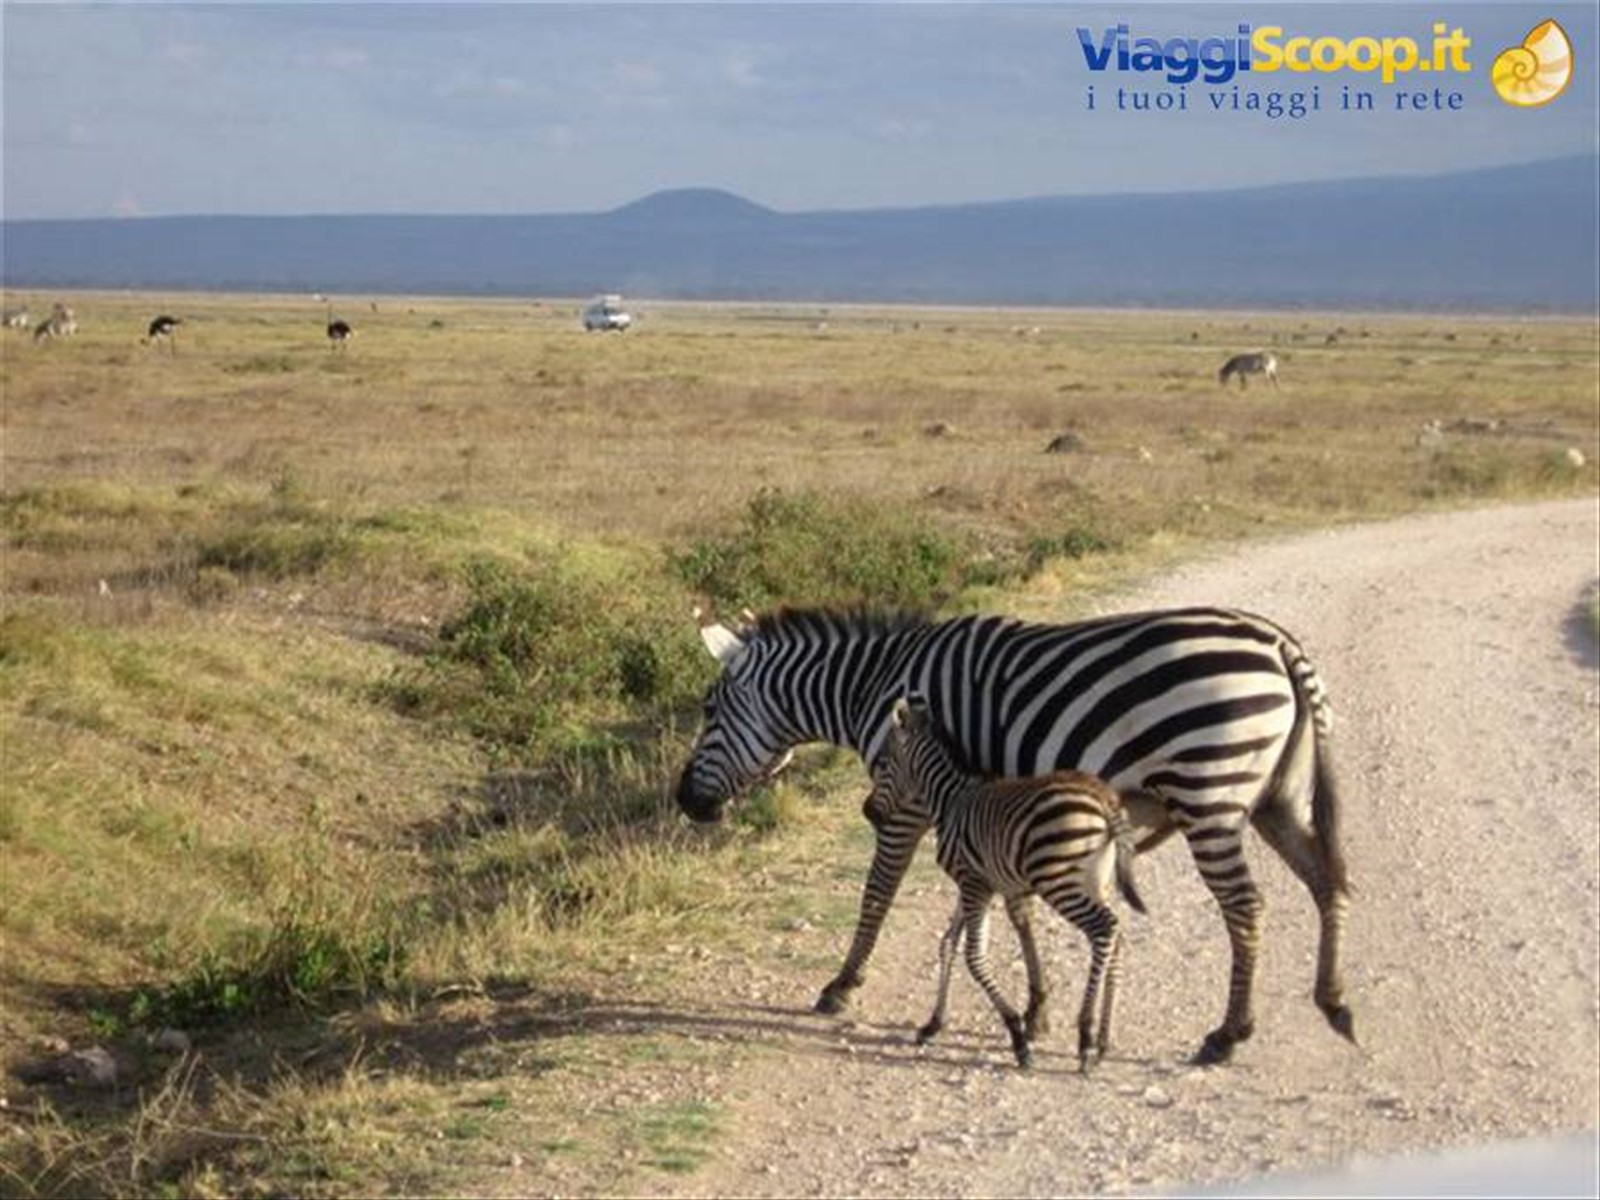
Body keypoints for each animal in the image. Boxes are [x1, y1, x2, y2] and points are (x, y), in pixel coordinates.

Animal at [873, 695, 1146, 1072]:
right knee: (1117, 936)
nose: (868, 812)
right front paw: (933, 1023)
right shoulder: (977, 883)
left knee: (1105, 928)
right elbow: (948, 944)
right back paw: (1103, 1040)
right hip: (1097, 881)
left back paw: (1085, 1039)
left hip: (1059, 881)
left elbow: (974, 956)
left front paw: (1017, 1035)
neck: (950, 800)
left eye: (884, 763)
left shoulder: (974, 884)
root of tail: (1105, 799)